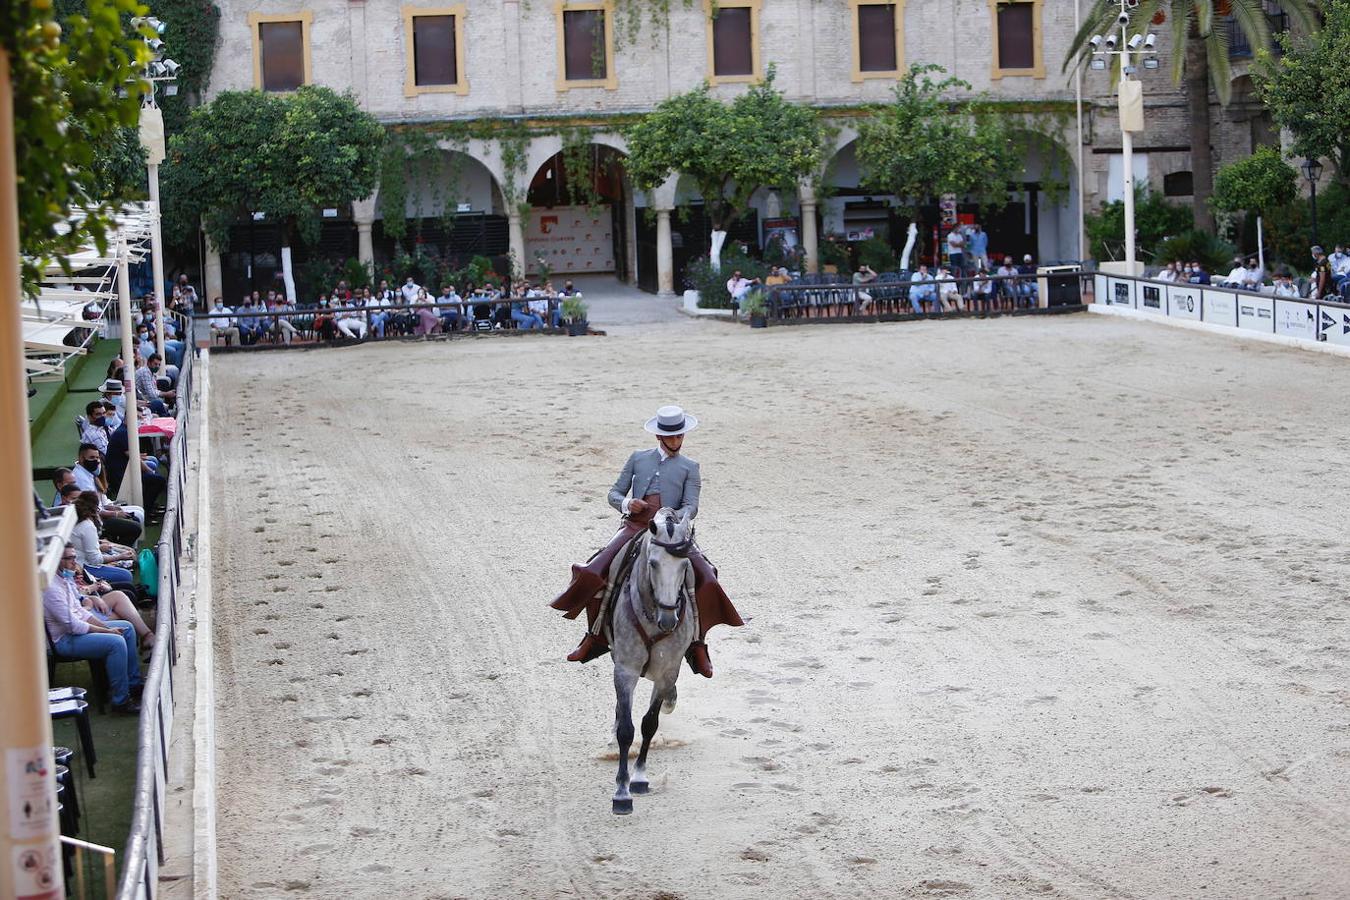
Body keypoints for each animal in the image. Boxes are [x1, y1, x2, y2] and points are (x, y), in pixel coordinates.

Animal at [610, 507, 696, 814]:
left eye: (684, 566)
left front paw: (638, 778)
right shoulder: (625, 669)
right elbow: (627, 729)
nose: (669, 619)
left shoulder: (667, 671)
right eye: (654, 564)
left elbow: (649, 723)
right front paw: (621, 793)